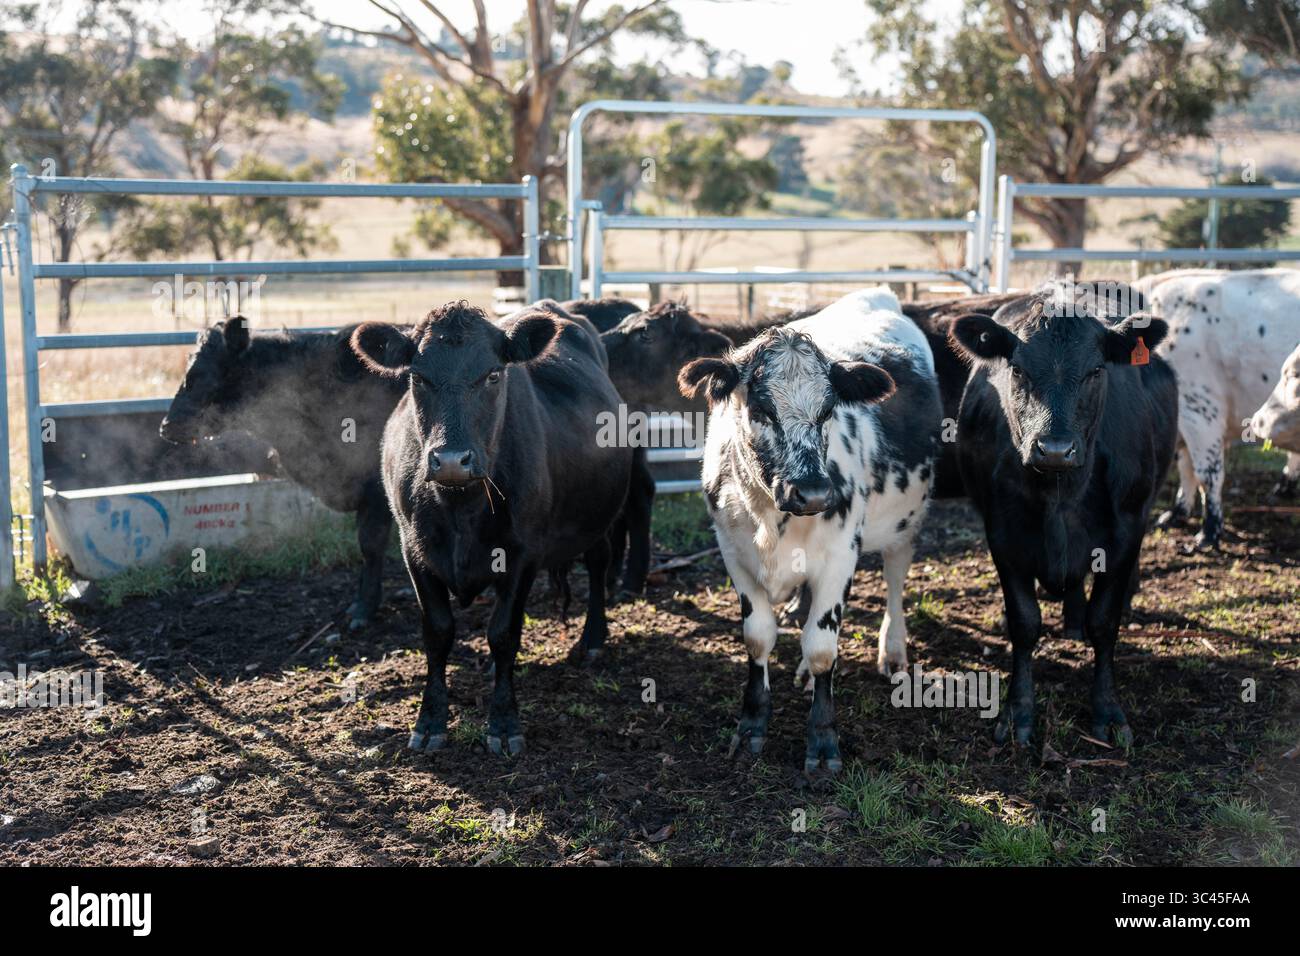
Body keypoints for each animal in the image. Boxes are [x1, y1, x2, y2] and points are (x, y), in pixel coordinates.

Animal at [349, 300, 634, 756]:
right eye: (417, 377)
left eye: (493, 375)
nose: (451, 460)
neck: (460, 506)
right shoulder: (414, 551)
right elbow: (438, 632)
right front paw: (430, 721)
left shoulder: (522, 556)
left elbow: (503, 634)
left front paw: (503, 723)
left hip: (598, 516)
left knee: (598, 563)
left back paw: (592, 639)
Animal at [680, 288, 940, 773]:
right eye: (762, 409)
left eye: (828, 410)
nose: (815, 493)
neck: (770, 517)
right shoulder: (733, 552)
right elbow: (758, 637)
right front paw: (752, 724)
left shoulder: (840, 556)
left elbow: (822, 647)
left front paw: (822, 740)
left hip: (907, 521)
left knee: (895, 579)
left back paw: (893, 650)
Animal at [949, 285, 1177, 746]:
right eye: (1017, 370)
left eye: (1096, 370)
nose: (1054, 449)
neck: (1061, 494)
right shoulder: (1003, 534)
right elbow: (1025, 622)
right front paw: (1018, 712)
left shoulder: (1126, 532)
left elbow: (1104, 622)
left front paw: (1107, 711)